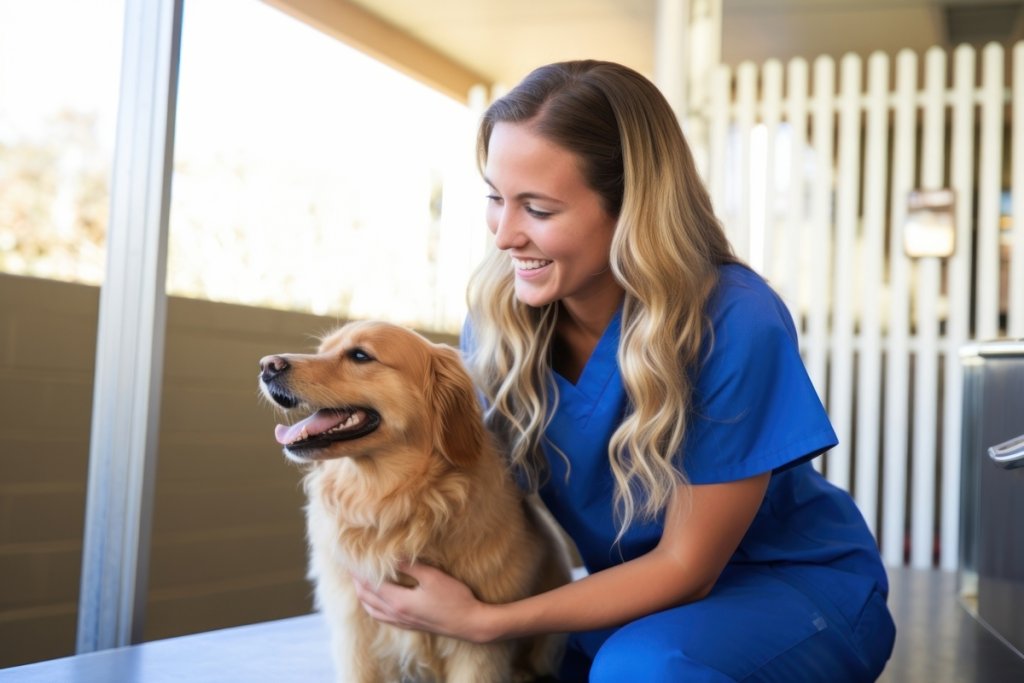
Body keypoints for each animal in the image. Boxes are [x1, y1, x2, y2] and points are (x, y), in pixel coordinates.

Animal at [260, 321, 573, 683]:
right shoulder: (356, 639)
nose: (267, 365)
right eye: (322, 350)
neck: (392, 502)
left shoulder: (478, 649)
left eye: (360, 355)